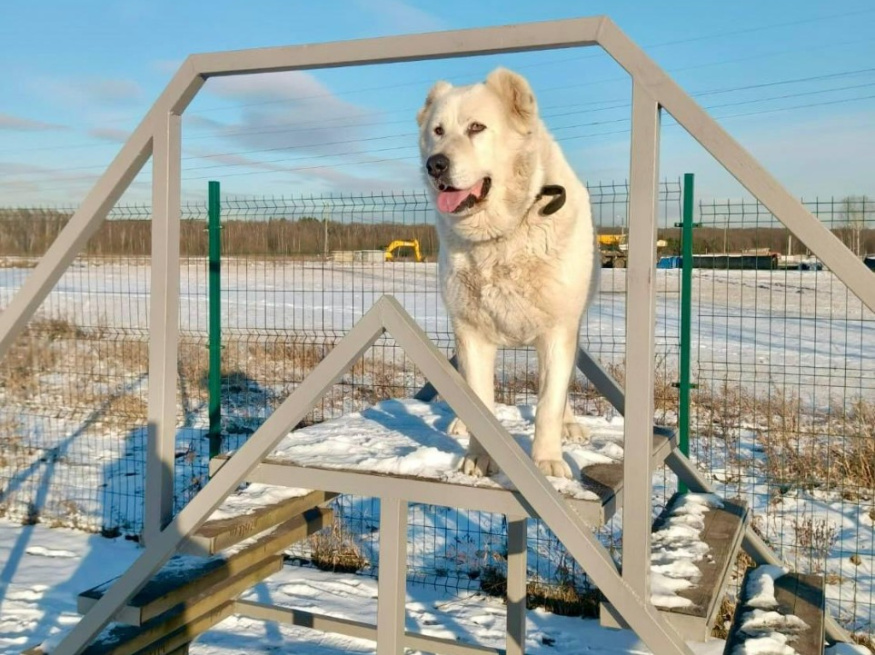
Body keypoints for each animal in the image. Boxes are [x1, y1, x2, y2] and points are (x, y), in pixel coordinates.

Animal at [416, 68, 600, 482]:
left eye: (476, 128)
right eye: (438, 130)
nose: (435, 165)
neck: (501, 237)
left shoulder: (557, 332)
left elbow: (549, 404)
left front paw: (547, 461)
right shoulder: (471, 332)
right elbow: (479, 402)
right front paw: (480, 456)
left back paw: (569, 425)